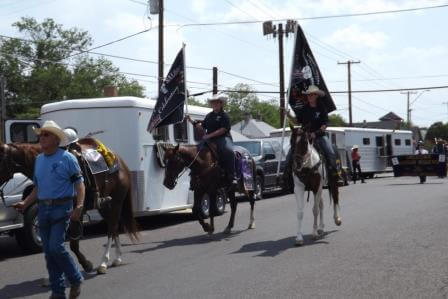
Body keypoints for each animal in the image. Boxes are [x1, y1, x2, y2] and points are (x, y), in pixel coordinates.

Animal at [0, 139, 138, 276]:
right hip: (104, 206)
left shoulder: (77, 213)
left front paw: (86, 264)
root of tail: (120, 161)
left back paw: (103, 263)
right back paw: (117, 258)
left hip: (117, 202)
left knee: (111, 228)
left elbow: (73, 244)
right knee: (113, 226)